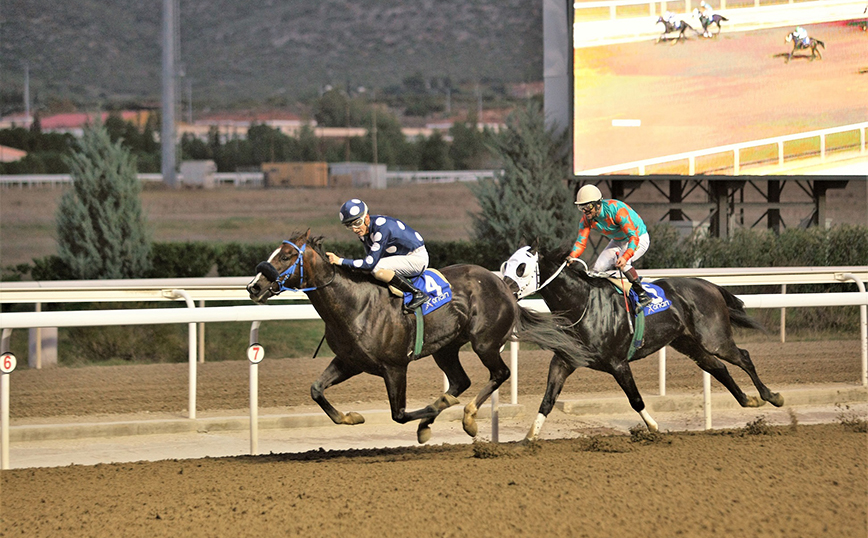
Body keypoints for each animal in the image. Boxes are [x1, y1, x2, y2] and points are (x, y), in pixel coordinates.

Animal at [244, 228, 584, 442]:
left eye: (286, 256)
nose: (254, 287)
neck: (355, 303)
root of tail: (504, 286)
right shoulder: (349, 361)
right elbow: (316, 390)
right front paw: (352, 417)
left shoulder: (395, 367)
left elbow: (399, 414)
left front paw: (432, 412)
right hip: (445, 348)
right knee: (460, 381)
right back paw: (442, 412)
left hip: (485, 342)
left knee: (499, 373)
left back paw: (468, 418)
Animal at [498, 243, 784, 440]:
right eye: (505, 266)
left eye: (521, 268)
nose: (502, 288)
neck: (583, 304)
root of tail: (710, 285)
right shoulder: (564, 361)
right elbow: (547, 399)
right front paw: (528, 439)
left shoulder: (618, 363)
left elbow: (635, 399)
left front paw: (654, 427)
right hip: (688, 343)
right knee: (718, 367)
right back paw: (748, 400)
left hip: (714, 338)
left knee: (742, 357)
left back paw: (772, 396)